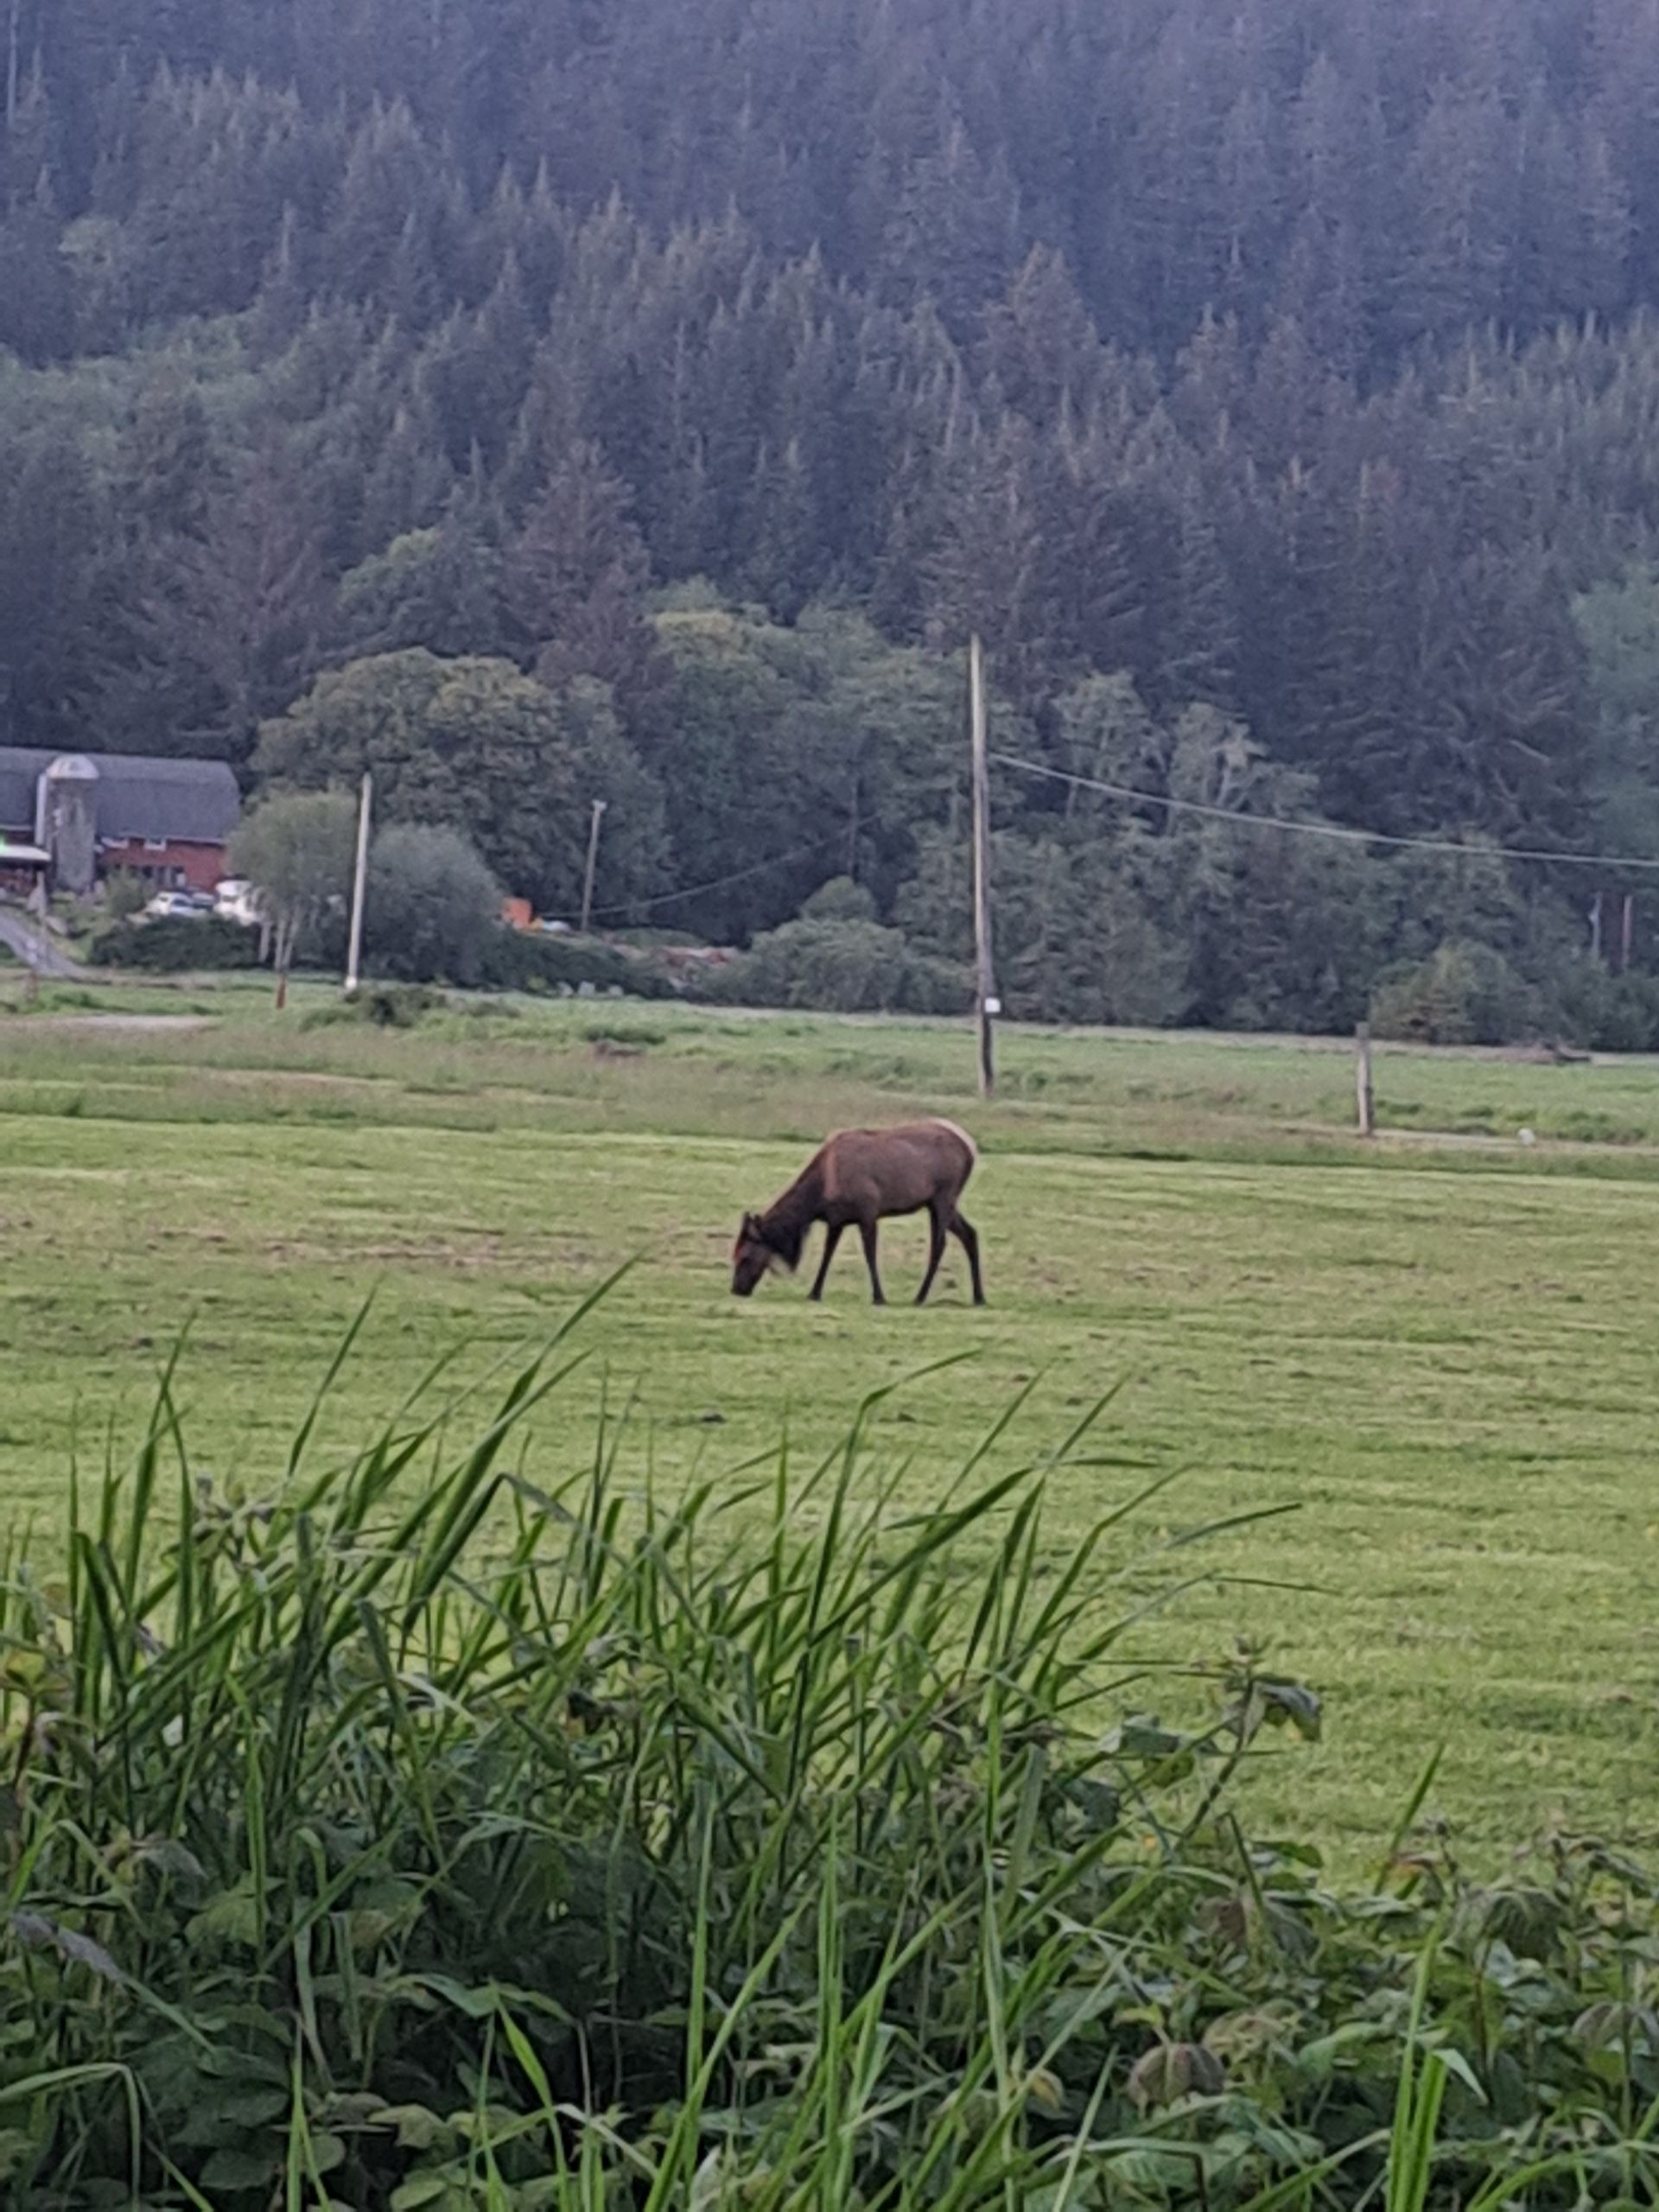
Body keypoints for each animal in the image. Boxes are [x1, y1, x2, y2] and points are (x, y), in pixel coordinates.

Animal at [731, 1119, 985, 1306]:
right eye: (734, 1256)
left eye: (745, 1256)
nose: (736, 1289)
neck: (820, 1195)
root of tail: (971, 1150)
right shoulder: (836, 1220)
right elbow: (827, 1254)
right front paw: (814, 1293)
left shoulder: (868, 1211)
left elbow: (870, 1254)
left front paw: (879, 1296)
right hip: (940, 1201)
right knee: (970, 1233)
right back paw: (979, 1296)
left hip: (944, 1195)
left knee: (939, 1243)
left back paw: (920, 1296)